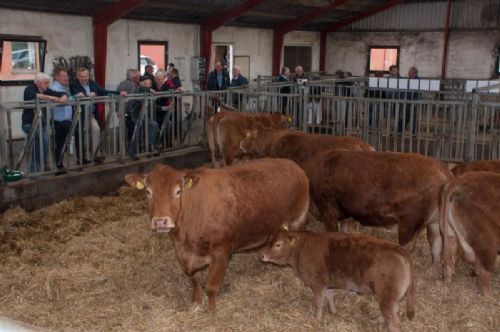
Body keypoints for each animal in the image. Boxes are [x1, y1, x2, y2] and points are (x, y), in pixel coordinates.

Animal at [124, 158, 308, 312]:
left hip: (297, 221)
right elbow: (196, 281)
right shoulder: (186, 253)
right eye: (148, 192)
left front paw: (212, 311)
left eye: (178, 191)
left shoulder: (221, 253)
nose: (160, 222)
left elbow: (211, 286)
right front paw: (196, 303)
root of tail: (293, 165)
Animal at [260, 228, 416, 332]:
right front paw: (333, 311)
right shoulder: (327, 283)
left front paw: (316, 320)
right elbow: (329, 296)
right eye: (269, 241)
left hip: (387, 296)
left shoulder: (317, 282)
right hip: (388, 296)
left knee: (394, 322)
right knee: (394, 309)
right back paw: (376, 321)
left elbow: (319, 303)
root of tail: (398, 248)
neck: (302, 249)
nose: (262, 255)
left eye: (278, 244)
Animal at [302, 150, 452, 264]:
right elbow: (345, 231)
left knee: (409, 245)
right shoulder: (346, 212)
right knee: (436, 240)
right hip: (435, 221)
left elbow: (333, 231)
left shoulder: (328, 207)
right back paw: (434, 267)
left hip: (411, 220)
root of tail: (442, 169)